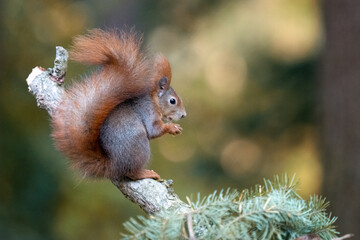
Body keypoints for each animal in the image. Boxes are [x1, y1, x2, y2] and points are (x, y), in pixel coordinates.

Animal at [51, 28, 186, 180]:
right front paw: (172, 128)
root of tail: (113, 166)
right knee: (131, 173)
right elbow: (154, 130)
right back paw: (146, 173)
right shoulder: (148, 111)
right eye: (172, 101)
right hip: (139, 144)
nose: (183, 115)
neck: (154, 101)